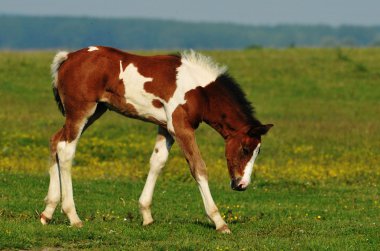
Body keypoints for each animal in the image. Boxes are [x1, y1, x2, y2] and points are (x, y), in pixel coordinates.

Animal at [40, 46, 274, 233]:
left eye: (258, 151)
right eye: (245, 149)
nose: (241, 184)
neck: (199, 91)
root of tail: (67, 57)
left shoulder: (166, 128)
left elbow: (157, 163)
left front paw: (146, 215)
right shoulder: (181, 127)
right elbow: (198, 167)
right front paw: (219, 222)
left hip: (94, 111)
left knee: (54, 141)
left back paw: (47, 212)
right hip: (81, 111)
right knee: (65, 150)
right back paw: (73, 216)